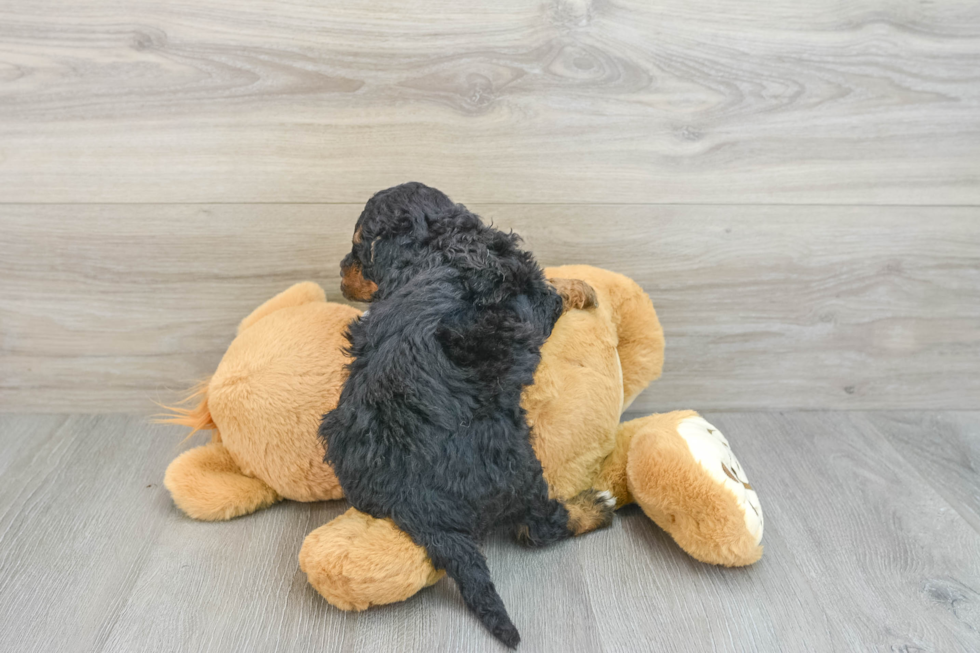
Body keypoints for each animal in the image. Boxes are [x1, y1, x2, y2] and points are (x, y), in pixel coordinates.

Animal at [322, 183, 612, 648]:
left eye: (359, 249)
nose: (340, 272)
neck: (440, 244)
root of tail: (411, 496)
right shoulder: (532, 298)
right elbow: (553, 290)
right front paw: (581, 285)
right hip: (517, 463)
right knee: (537, 527)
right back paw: (595, 506)